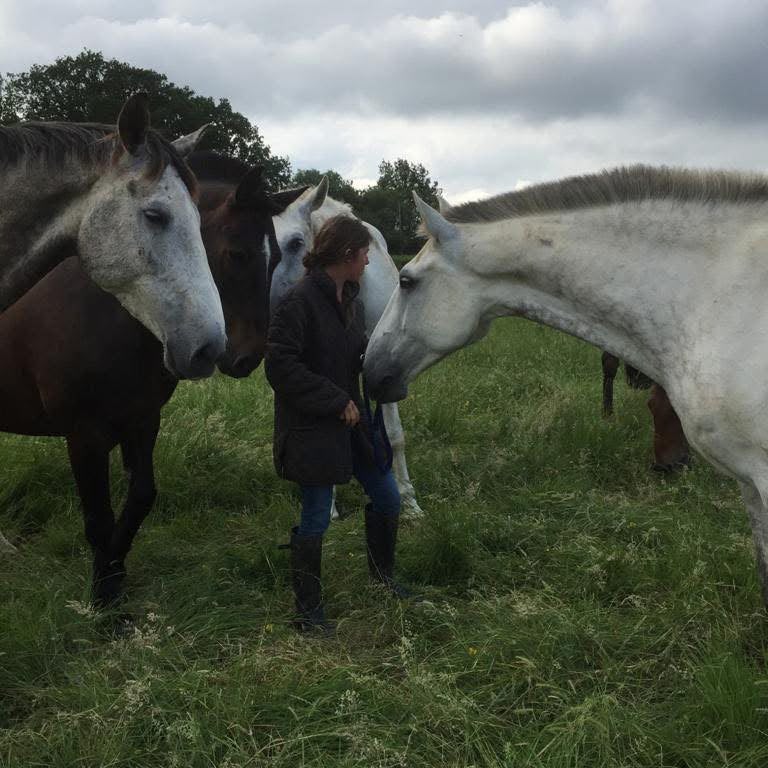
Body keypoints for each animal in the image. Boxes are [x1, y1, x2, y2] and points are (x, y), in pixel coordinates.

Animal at [0, 151, 305, 604]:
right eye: (237, 253)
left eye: (277, 259)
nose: (247, 357)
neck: (118, 313)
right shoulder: (84, 435)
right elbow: (98, 519)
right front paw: (105, 598)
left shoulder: (143, 420)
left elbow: (141, 497)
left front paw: (115, 570)